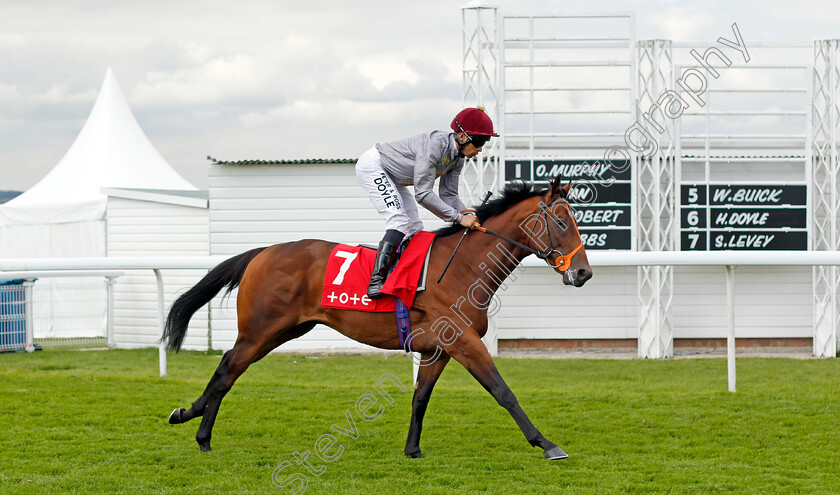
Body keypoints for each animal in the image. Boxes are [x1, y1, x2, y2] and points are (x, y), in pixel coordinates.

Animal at [164, 175, 592, 462]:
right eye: (561, 222)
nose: (583, 273)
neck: (461, 268)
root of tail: (263, 252)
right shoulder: (464, 341)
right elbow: (502, 391)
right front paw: (547, 444)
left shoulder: (439, 348)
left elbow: (421, 397)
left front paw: (413, 449)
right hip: (261, 328)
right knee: (227, 369)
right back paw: (200, 433)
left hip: (284, 330)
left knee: (229, 367)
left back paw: (188, 415)